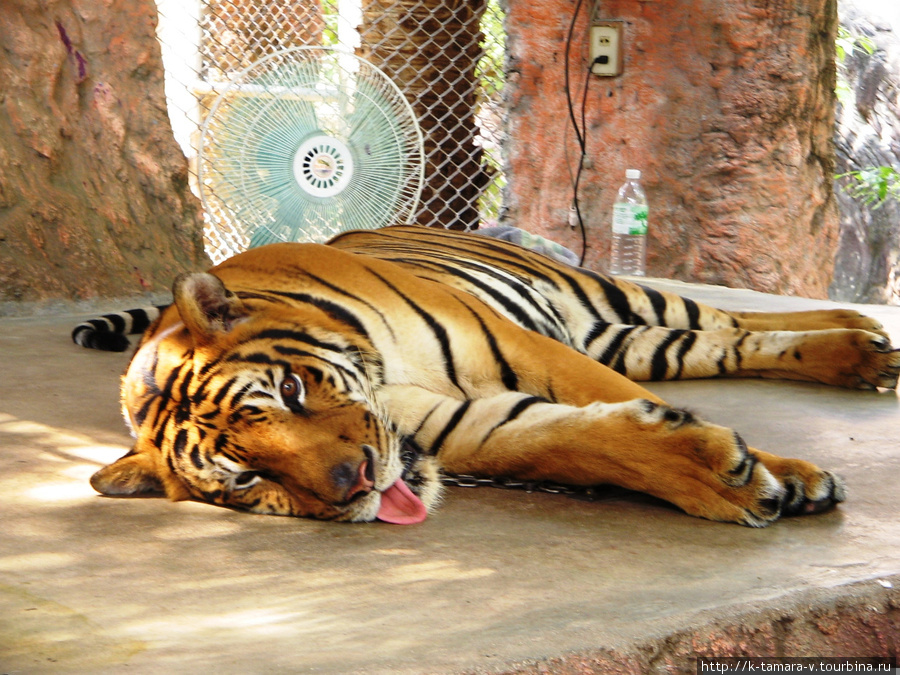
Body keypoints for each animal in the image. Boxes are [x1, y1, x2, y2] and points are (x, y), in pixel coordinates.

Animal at [75, 226, 900, 528]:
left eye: (291, 391)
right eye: (245, 476)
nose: (357, 479)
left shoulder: (524, 349)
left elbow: (622, 403)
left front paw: (783, 473)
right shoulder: (467, 424)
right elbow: (576, 442)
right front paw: (726, 478)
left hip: (604, 295)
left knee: (729, 316)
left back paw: (866, 332)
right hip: (630, 335)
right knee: (723, 341)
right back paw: (862, 349)